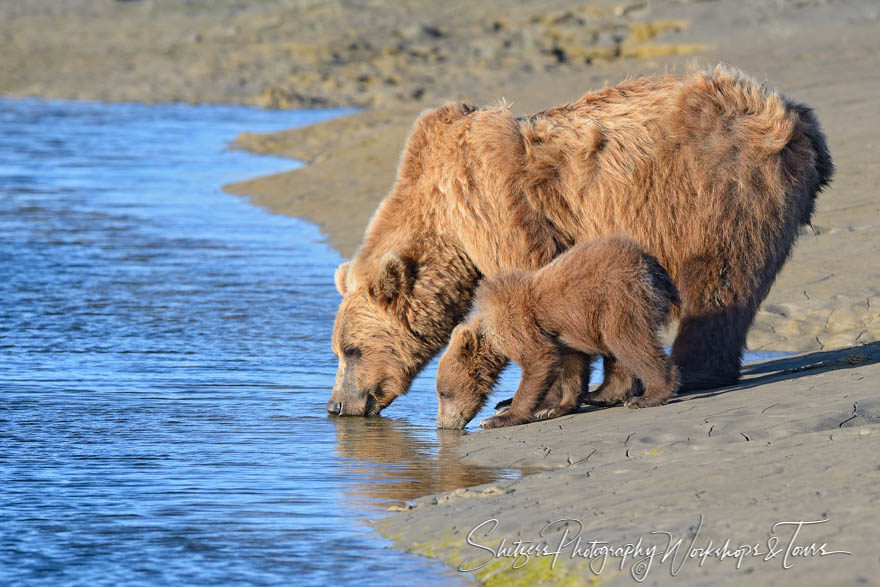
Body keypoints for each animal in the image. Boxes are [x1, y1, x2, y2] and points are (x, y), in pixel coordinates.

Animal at [436, 237, 676, 430]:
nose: (441, 424)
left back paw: (649, 396)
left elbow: (538, 359)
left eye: (444, 393)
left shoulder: (518, 324)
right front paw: (555, 408)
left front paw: (500, 417)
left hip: (619, 297)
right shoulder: (562, 336)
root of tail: (650, 263)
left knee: (628, 341)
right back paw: (600, 395)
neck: (489, 329)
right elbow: (571, 366)